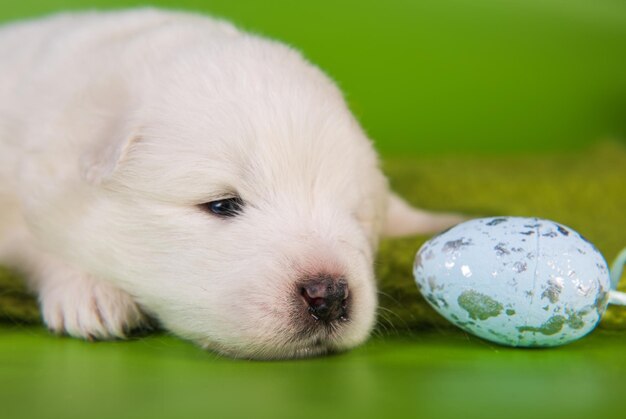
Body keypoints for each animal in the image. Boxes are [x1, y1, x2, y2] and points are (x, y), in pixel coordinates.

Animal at [0, 8, 458, 360]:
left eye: (356, 217)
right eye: (221, 204)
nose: (326, 296)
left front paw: (441, 220)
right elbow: (35, 244)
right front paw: (91, 292)